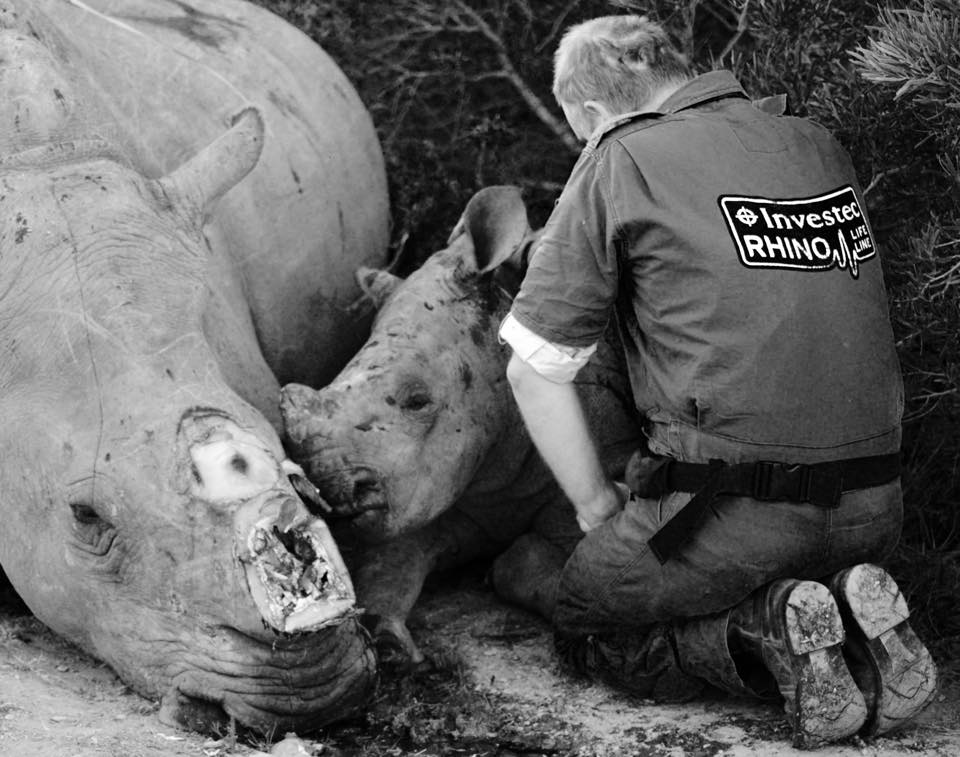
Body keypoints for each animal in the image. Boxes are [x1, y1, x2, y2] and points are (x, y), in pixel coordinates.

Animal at [281, 187, 643, 660]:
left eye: (418, 401)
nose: (328, 488)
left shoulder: (603, 459)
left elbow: (537, 557)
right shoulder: (445, 482)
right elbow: (395, 554)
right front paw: (388, 642)